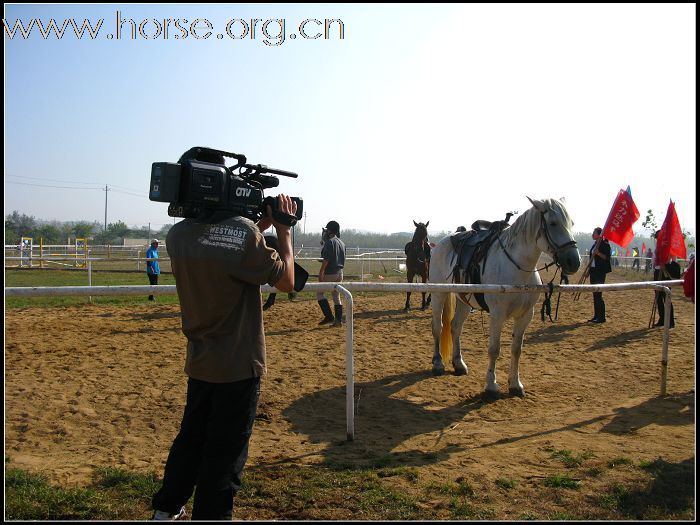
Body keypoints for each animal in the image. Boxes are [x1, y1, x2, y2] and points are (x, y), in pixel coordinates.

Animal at [430, 196, 584, 398]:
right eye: (552, 223)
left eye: (572, 223)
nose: (574, 261)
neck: (518, 269)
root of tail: (442, 243)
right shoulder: (498, 315)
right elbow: (494, 349)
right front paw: (491, 385)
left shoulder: (526, 315)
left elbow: (516, 349)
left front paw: (515, 385)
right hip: (438, 294)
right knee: (438, 327)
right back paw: (438, 363)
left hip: (465, 299)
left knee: (455, 327)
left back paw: (459, 364)